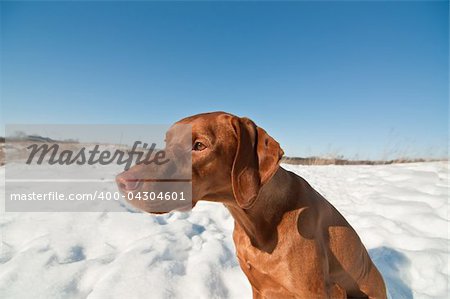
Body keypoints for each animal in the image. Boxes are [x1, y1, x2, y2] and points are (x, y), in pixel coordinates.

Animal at [116, 112, 386, 299]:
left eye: (199, 145)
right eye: (166, 142)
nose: (121, 181)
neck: (258, 223)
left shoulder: (320, 292)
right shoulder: (259, 287)